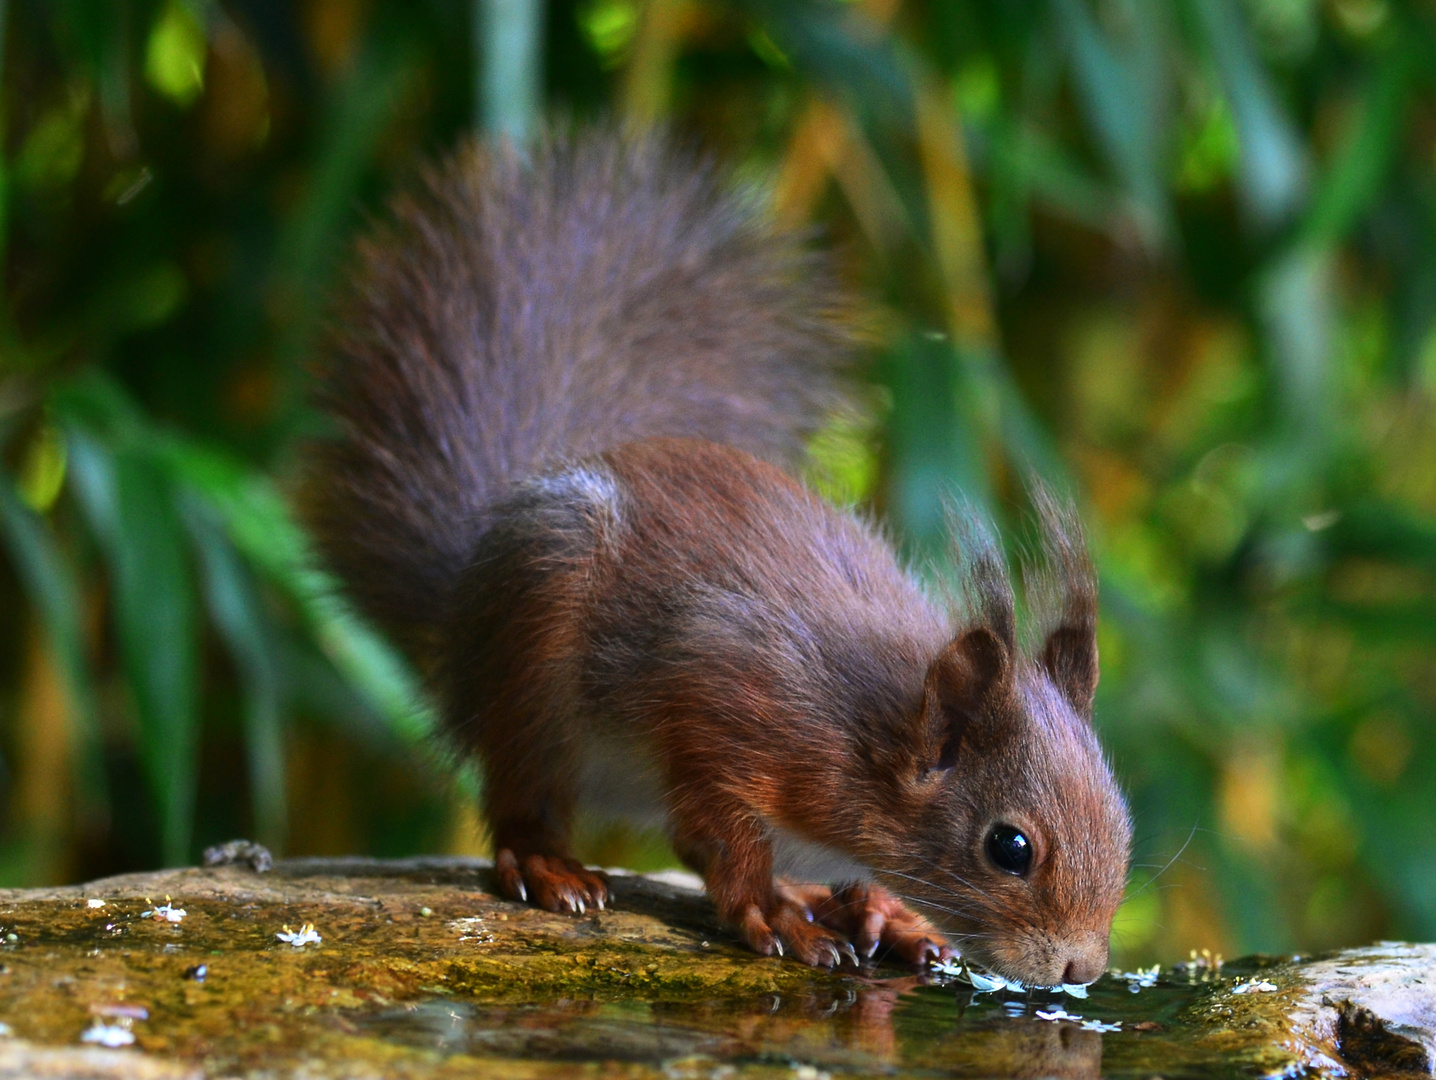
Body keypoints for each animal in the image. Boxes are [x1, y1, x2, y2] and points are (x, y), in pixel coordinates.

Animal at [305, 128, 1131, 988]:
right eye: (1010, 847)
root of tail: (467, 598)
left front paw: (885, 911)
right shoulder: (726, 706)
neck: (876, 737)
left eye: (1123, 821)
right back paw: (547, 862)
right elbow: (718, 835)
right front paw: (772, 913)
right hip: (533, 659)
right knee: (520, 791)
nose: (1081, 968)